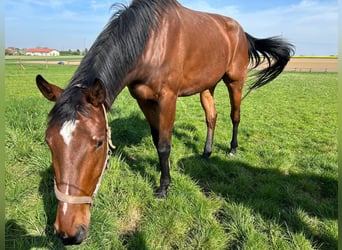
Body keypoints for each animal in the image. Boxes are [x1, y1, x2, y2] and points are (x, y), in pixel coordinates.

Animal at [35, 0, 294, 244]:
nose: (68, 232)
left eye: (98, 143)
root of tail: (240, 31)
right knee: (211, 116)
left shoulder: (168, 98)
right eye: (48, 141)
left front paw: (163, 187)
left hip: (235, 80)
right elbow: (156, 137)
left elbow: (164, 144)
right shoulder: (143, 99)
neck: (151, 41)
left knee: (235, 115)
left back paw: (231, 148)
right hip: (207, 85)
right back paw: (207, 152)